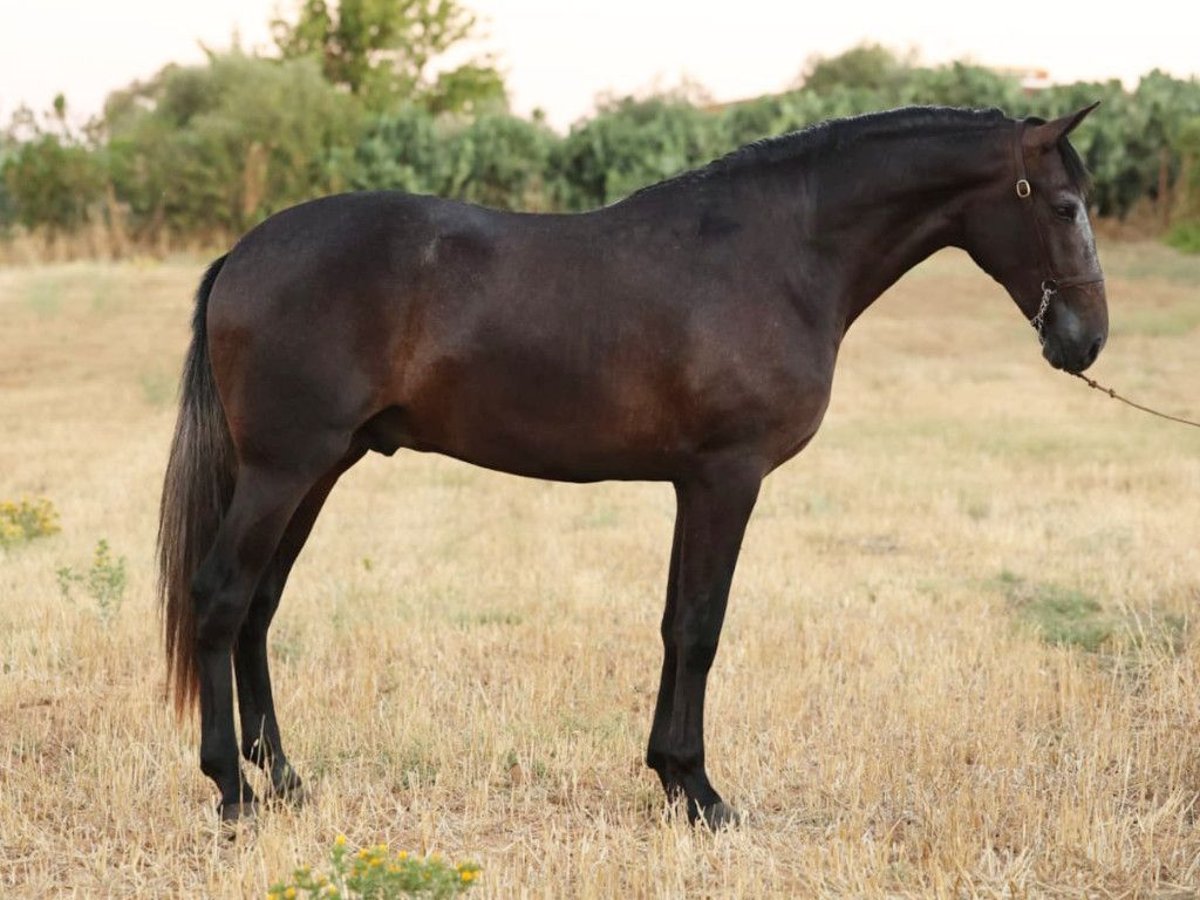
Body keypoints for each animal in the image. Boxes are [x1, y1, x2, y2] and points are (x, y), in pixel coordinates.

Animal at [157, 102, 1104, 830]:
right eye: (1063, 206)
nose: (1086, 340)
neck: (778, 254)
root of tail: (244, 254)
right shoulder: (727, 479)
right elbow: (700, 628)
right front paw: (703, 793)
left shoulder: (695, 485)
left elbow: (674, 625)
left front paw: (672, 779)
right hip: (284, 470)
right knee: (221, 597)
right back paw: (233, 792)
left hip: (317, 470)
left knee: (258, 608)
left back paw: (285, 781)